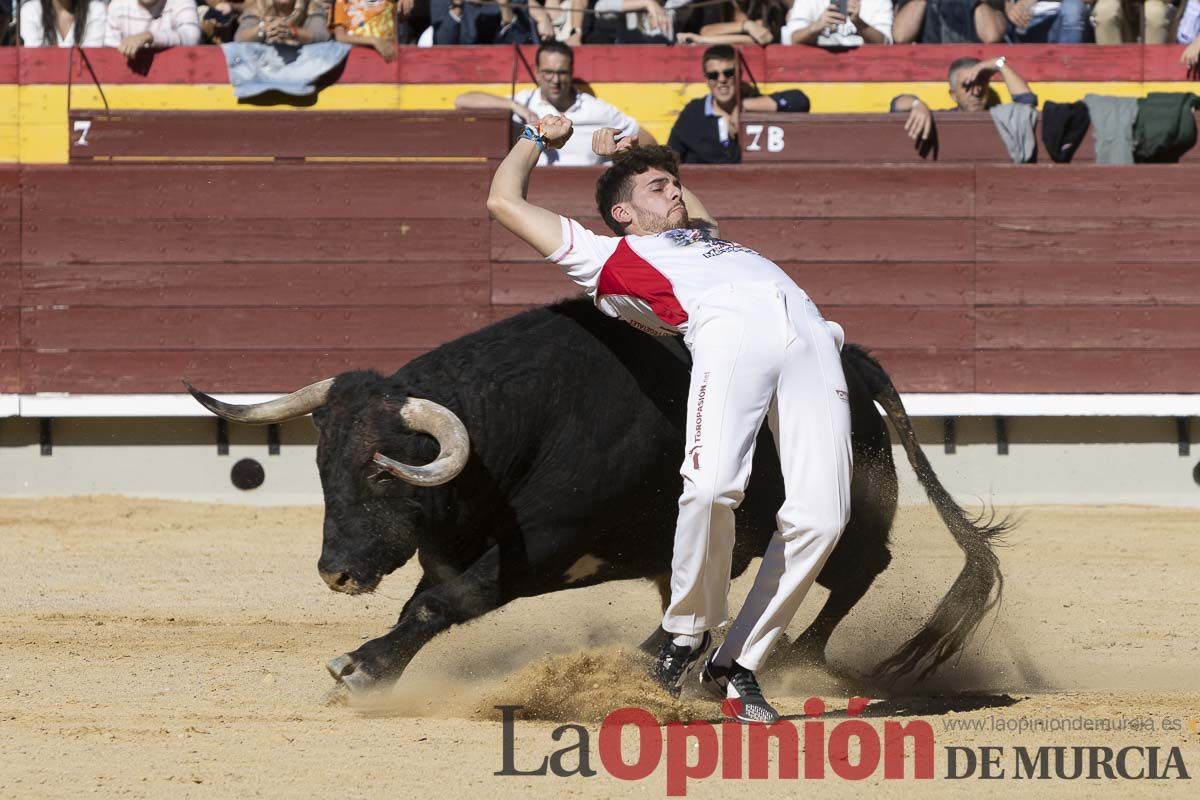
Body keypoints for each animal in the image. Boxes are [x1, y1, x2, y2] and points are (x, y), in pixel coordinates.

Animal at [187, 299, 1008, 695]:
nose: (338, 572)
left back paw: (789, 658)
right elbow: (425, 600)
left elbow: (441, 603)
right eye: (324, 466)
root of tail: (853, 360)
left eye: (385, 473)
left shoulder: (541, 548)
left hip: (837, 509)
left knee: (854, 568)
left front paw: (360, 668)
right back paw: (673, 660)